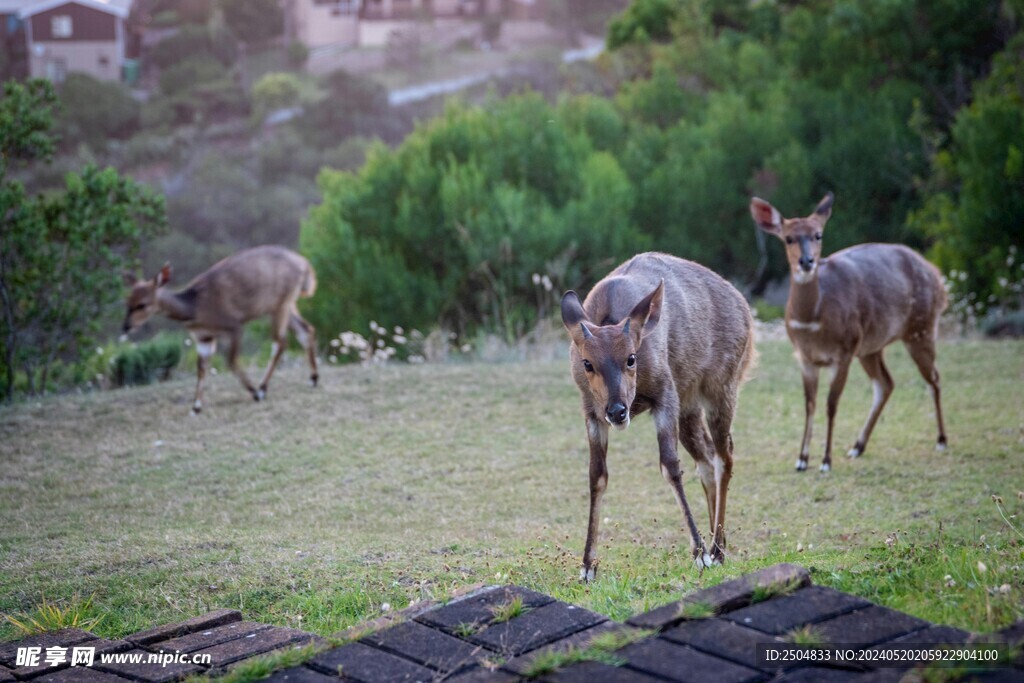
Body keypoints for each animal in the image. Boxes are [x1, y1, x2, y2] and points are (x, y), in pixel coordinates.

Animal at [122, 245, 319, 414]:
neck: (195, 306)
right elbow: (201, 368)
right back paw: (313, 379)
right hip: (286, 304)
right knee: (305, 331)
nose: (126, 326)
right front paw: (196, 407)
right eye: (128, 302)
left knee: (280, 342)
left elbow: (230, 360)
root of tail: (305, 264)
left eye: (142, 304)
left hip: (280, 305)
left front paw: (254, 393)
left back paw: (263, 388)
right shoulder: (204, 338)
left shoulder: (234, 327)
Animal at [561, 252, 755, 579]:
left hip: (721, 390)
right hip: (690, 408)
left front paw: (699, 554)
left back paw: (716, 549)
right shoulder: (591, 413)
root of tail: (745, 309)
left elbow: (670, 466)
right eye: (587, 363)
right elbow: (596, 475)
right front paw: (587, 566)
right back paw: (718, 543)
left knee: (723, 456)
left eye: (631, 358)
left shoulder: (665, 396)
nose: (617, 411)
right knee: (706, 458)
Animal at [750, 193, 948, 473]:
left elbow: (831, 404)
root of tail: (937, 276)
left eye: (818, 234)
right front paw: (801, 460)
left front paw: (825, 462)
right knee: (886, 383)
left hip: (920, 330)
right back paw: (856, 447)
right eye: (788, 237)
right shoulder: (805, 359)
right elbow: (809, 404)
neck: (813, 321)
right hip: (871, 347)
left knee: (933, 378)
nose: (807, 261)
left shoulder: (843, 353)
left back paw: (941, 441)